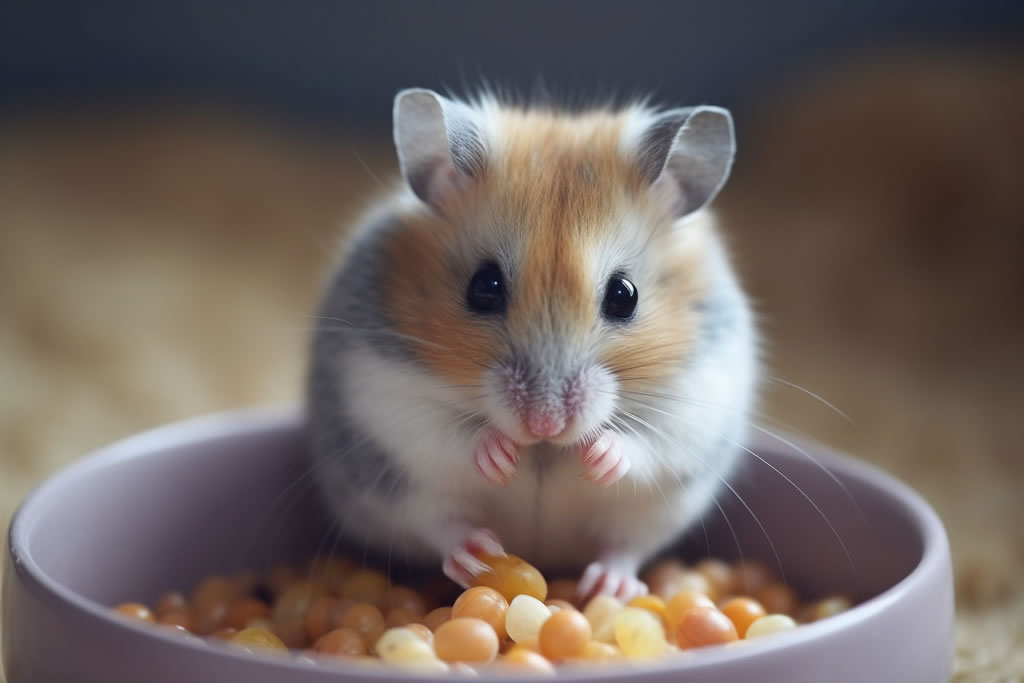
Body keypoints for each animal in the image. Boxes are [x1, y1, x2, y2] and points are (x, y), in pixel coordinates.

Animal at [306, 88, 757, 601]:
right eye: (483, 287)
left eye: (625, 295)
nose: (545, 424)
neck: (544, 450)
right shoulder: (380, 391)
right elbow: (448, 436)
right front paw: (499, 455)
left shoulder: (697, 399)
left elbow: (644, 444)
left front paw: (597, 456)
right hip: (394, 491)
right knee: (440, 523)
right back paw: (475, 557)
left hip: (660, 509)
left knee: (626, 545)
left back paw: (609, 586)